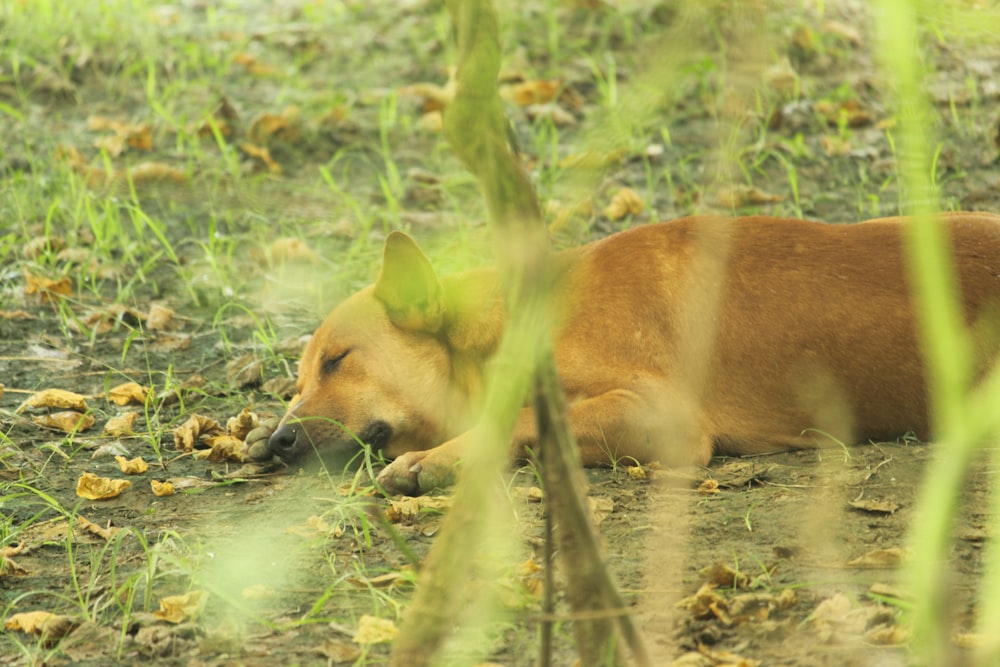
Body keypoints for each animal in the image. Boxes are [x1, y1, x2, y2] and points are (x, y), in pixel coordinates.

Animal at [260, 215, 1000, 496]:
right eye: (295, 382)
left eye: (338, 360)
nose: (273, 442)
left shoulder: (666, 418)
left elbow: (521, 417)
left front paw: (432, 461)